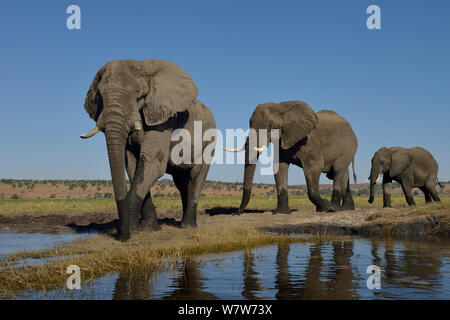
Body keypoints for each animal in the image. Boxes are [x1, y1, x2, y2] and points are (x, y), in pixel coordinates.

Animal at [81, 59, 216, 240]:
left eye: (139, 96)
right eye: (100, 97)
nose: (122, 236)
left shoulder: (164, 119)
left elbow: (152, 163)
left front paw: (132, 229)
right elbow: (133, 167)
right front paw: (149, 229)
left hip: (209, 142)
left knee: (196, 177)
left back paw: (187, 226)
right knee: (181, 183)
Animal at [225, 101, 358, 214]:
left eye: (270, 125)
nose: (238, 212)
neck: (281, 107)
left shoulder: (309, 142)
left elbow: (314, 167)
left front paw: (325, 207)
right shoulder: (283, 139)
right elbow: (279, 167)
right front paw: (281, 212)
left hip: (349, 146)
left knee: (338, 170)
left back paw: (334, 208)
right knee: (344, 173)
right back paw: (346, 208)